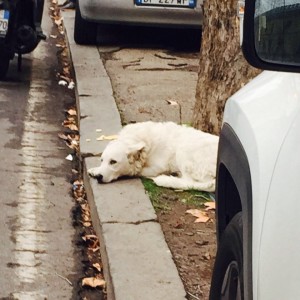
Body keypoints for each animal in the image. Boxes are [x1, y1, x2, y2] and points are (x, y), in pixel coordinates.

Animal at [88, 121, 219, 192]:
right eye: (102, 160)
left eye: (113, 162)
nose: (98, 177)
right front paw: (94, 170)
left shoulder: (158, 167)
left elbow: (136, 171)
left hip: (184, 150)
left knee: (194, 183)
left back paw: (167, 180)